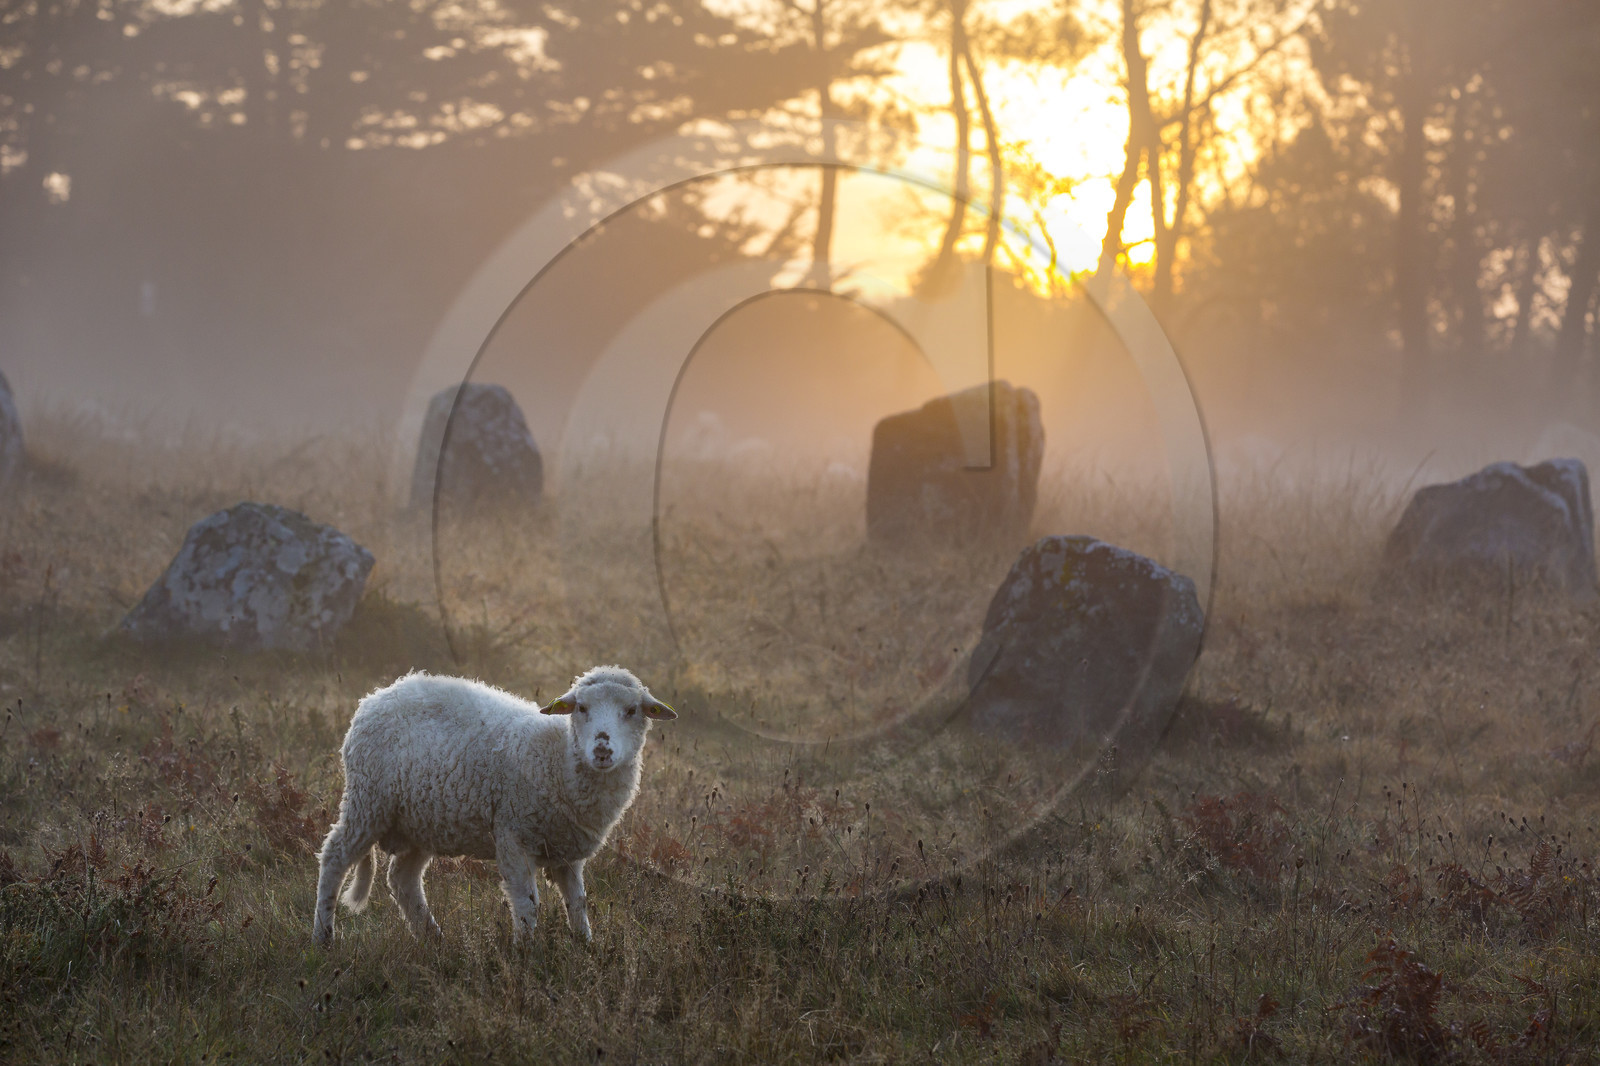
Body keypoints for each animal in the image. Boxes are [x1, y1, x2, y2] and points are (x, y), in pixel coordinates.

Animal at [312, 665, 676, 946]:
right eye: (581, 708)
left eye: (632, 711)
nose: (602, 750)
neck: (558, 758)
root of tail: (378, 695)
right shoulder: (512, 835)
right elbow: (528, 904)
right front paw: (526, 953)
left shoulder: (567, 851)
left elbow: (578, 903)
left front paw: (585, 947)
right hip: (367, 801)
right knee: (334, 857)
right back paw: (324, 937)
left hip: (421, 821)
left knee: (403, 880)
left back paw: (434, 939)